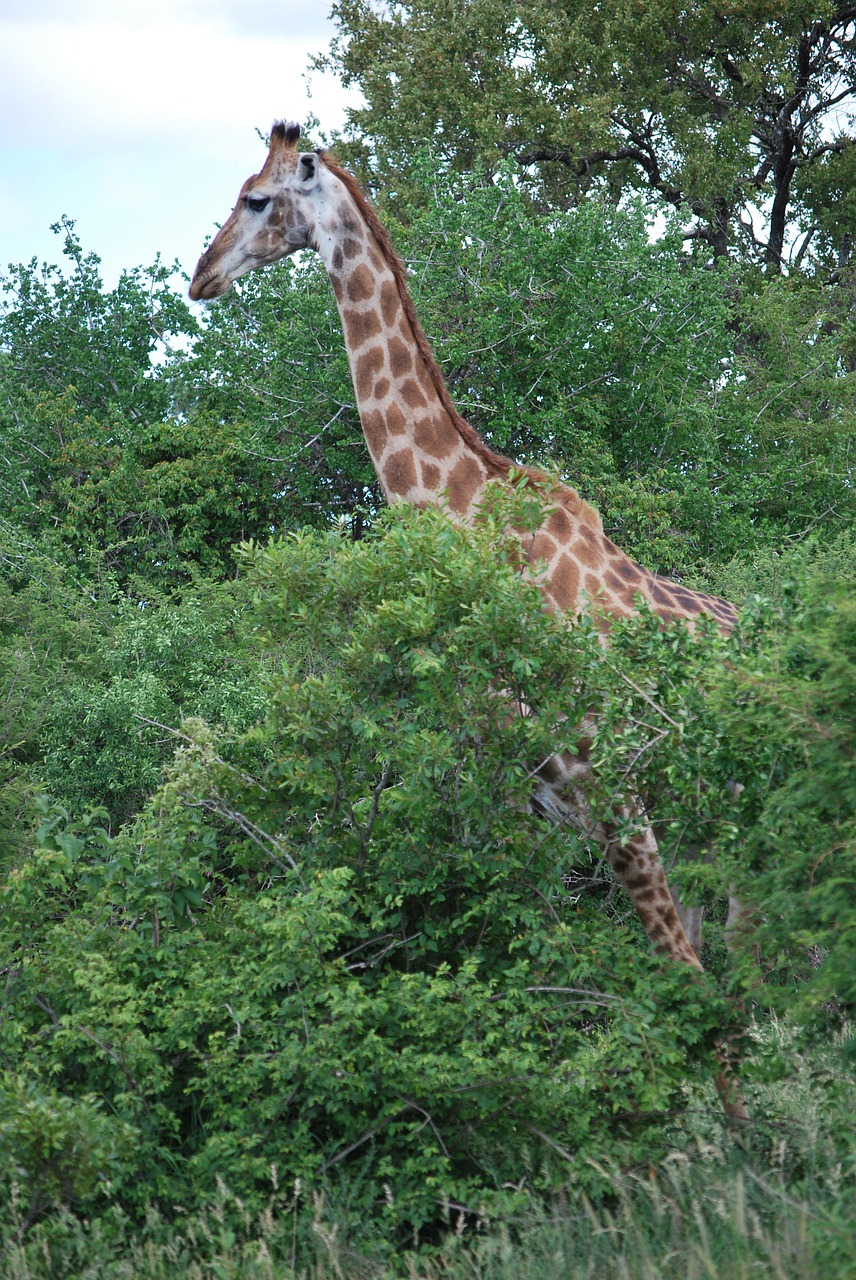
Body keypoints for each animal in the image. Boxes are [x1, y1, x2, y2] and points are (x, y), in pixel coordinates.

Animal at [188, 120, 747, 1121]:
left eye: (258, 199)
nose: (199, 275)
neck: (475, 521)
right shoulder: (524, 795)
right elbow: (537, 974)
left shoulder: (608, 793)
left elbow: (675, 981)